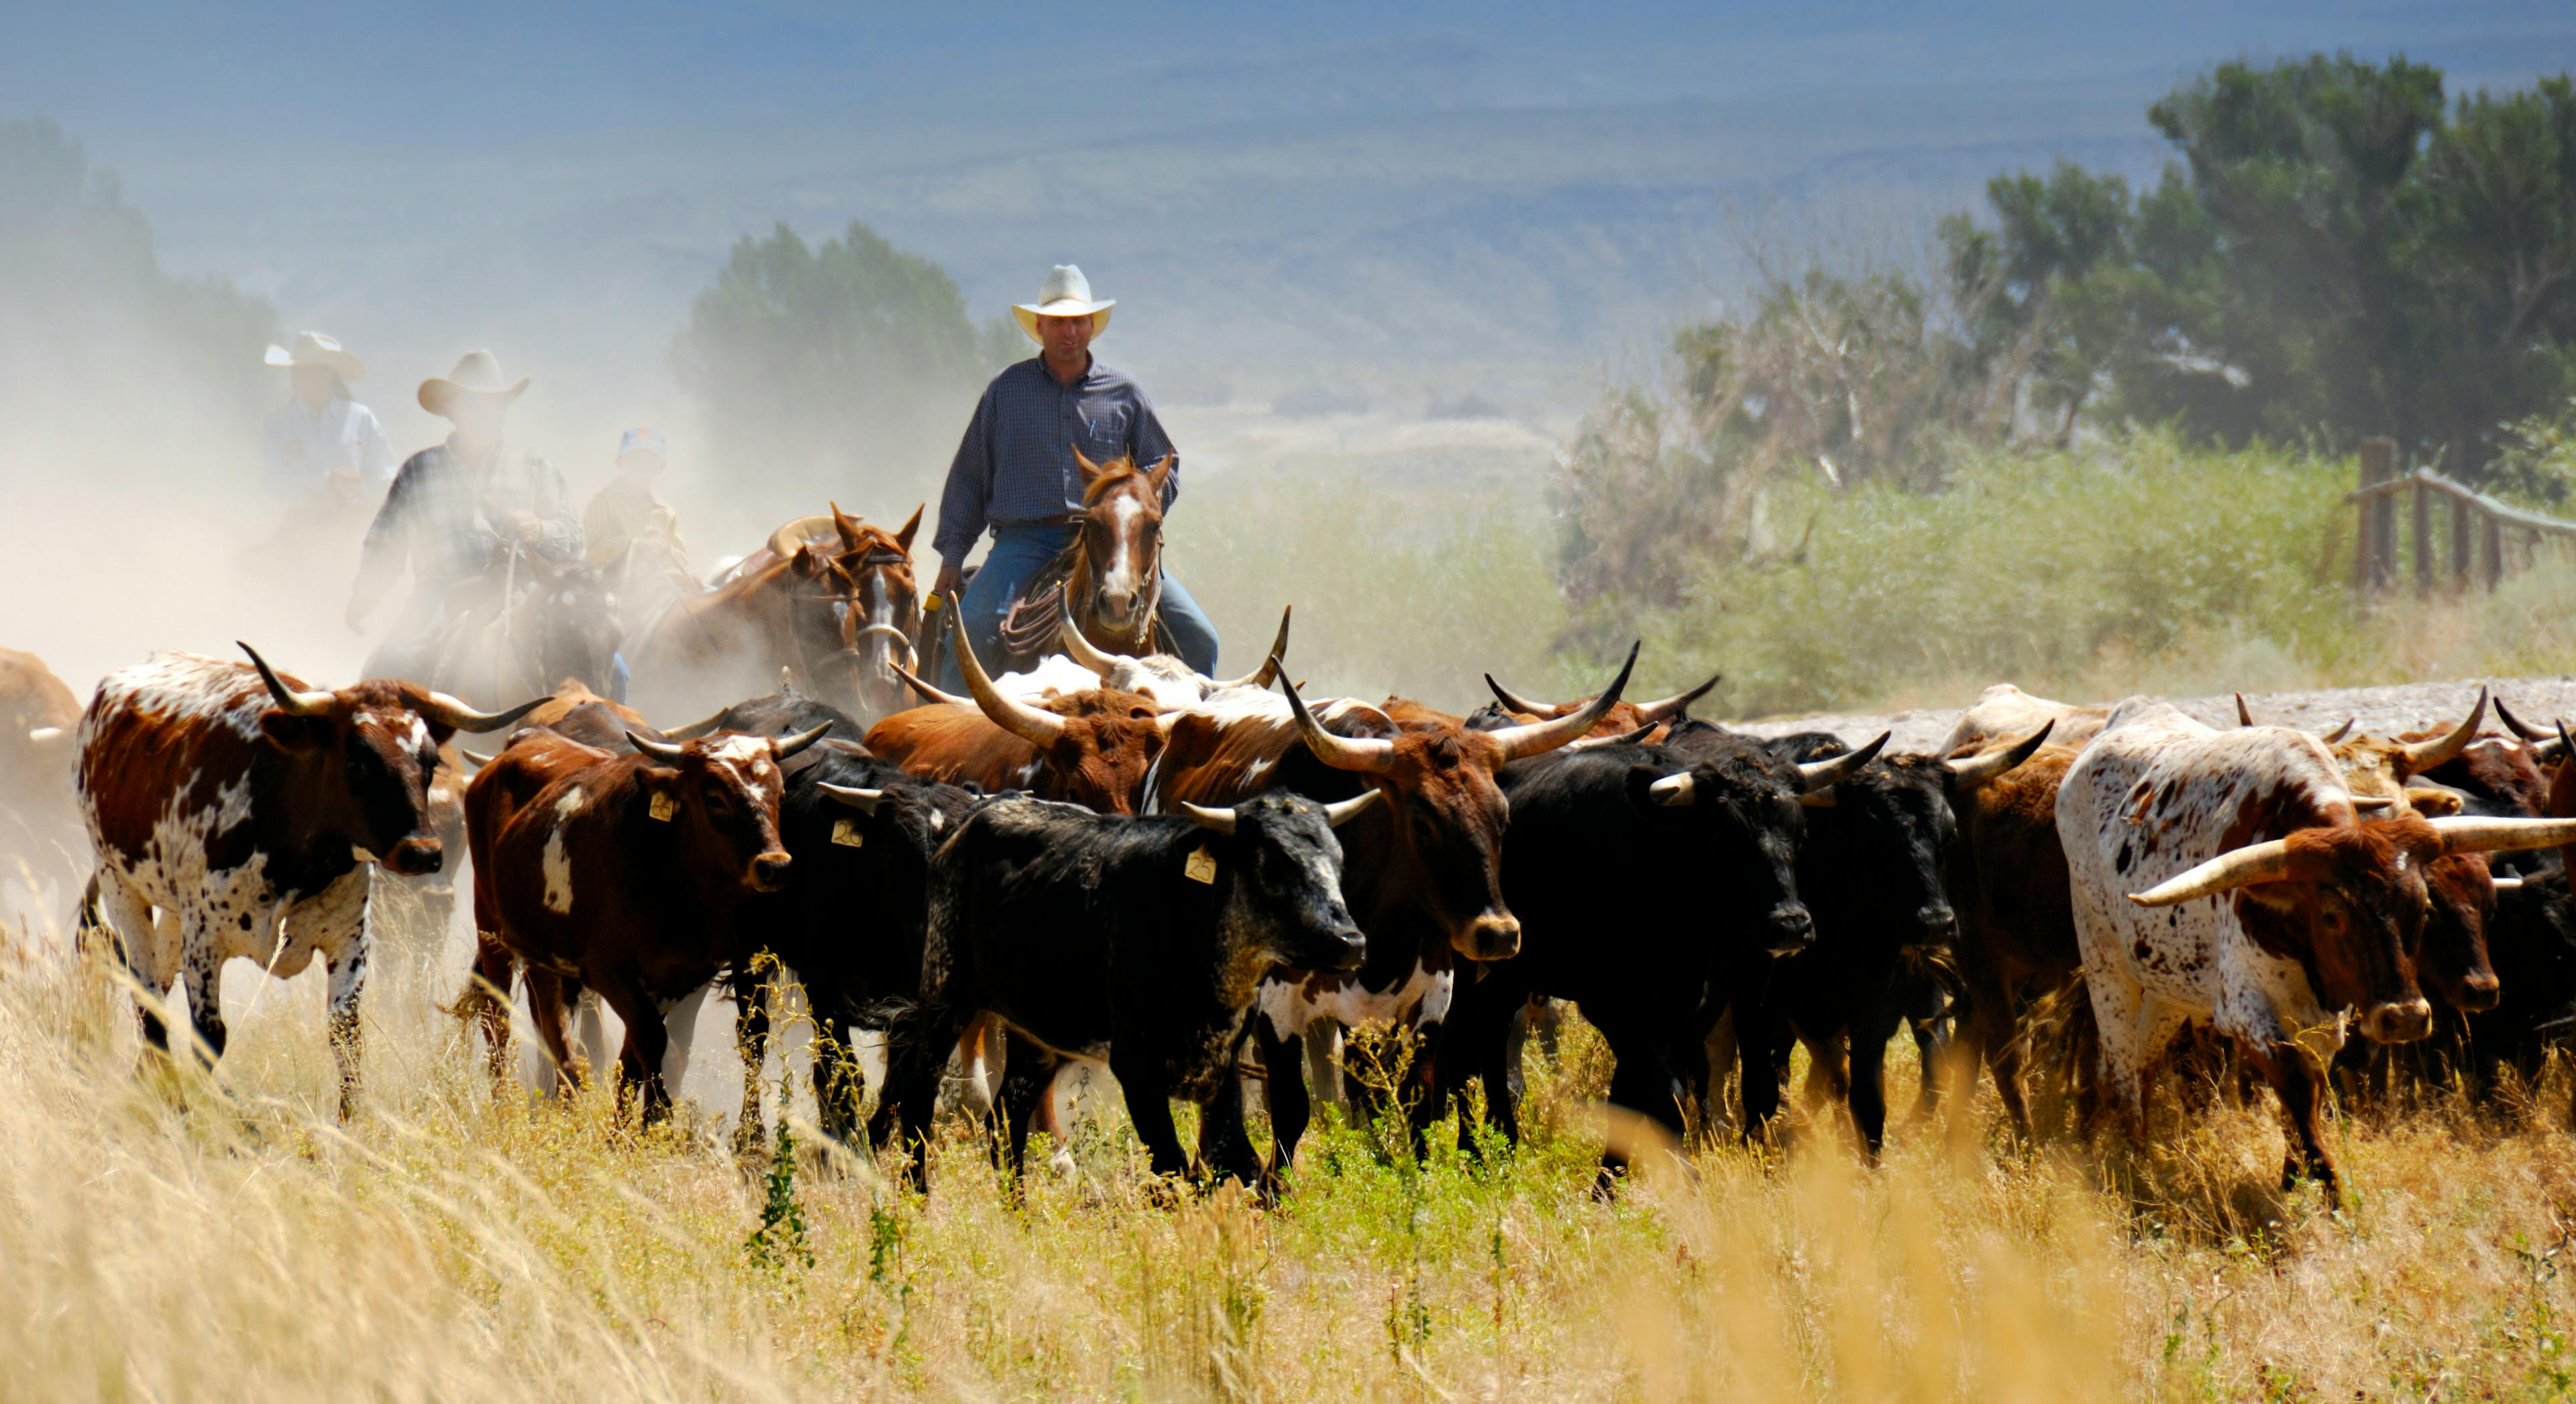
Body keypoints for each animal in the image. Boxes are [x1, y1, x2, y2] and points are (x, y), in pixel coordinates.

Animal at [76, 646, 541, 1116]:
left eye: (430, 761)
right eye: (357, 759)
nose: (423, 852)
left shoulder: (349, 940)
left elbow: (346, 1036)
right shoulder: (205, 943)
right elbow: (210, 1037)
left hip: (173, 915)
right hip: (120, 886)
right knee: (147, 997)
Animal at [466, 719, 830, 1119]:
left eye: (779, 794)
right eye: (715, 798)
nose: (774, 866)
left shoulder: (688, 975)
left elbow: (638, 1056)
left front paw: (624, 1126)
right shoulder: (609, 973)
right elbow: (651, 1040)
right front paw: (654, 1118)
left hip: (541, 952)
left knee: (551, 1021)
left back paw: (567, 1097)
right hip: (492, 931)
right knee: (496, 1019)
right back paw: (503, 1103)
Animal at [876, 788, 1377, 1192]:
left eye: (1337, 861)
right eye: (1275, 863)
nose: (1350, 941)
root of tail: (965, 825)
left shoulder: (1222, 1068)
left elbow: (1230, 1162)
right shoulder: (1137, 1068)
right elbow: (1173, 1167)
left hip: (1035, 1036)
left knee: (1005, 1122)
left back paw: (1021, 1217)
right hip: (946, 993)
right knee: (918, 1101)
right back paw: (917, 1199)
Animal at [1152, 647, 1637, 1186]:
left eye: (1504, 814)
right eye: (1422, 820)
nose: (1498, 934)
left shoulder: (1430, 997)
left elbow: (1415, 1100)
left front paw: (1416, 1181)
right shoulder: (1278, 1007)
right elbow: (1291, 1107)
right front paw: (1272, 1191)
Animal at [2058, 697, 2576, 1199]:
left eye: (2420, 906)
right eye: (2332, 915)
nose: (2405, 1018)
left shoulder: (2325, 1016)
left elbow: (2314, 1082)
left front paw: (2296, 1173)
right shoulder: (2244, 1007)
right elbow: (2297, 1082)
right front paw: (2325, 1187)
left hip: (2167, 982)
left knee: (2143, 1057)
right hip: (2105, 965)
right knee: (2121, 1064)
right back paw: (2134, 1161)